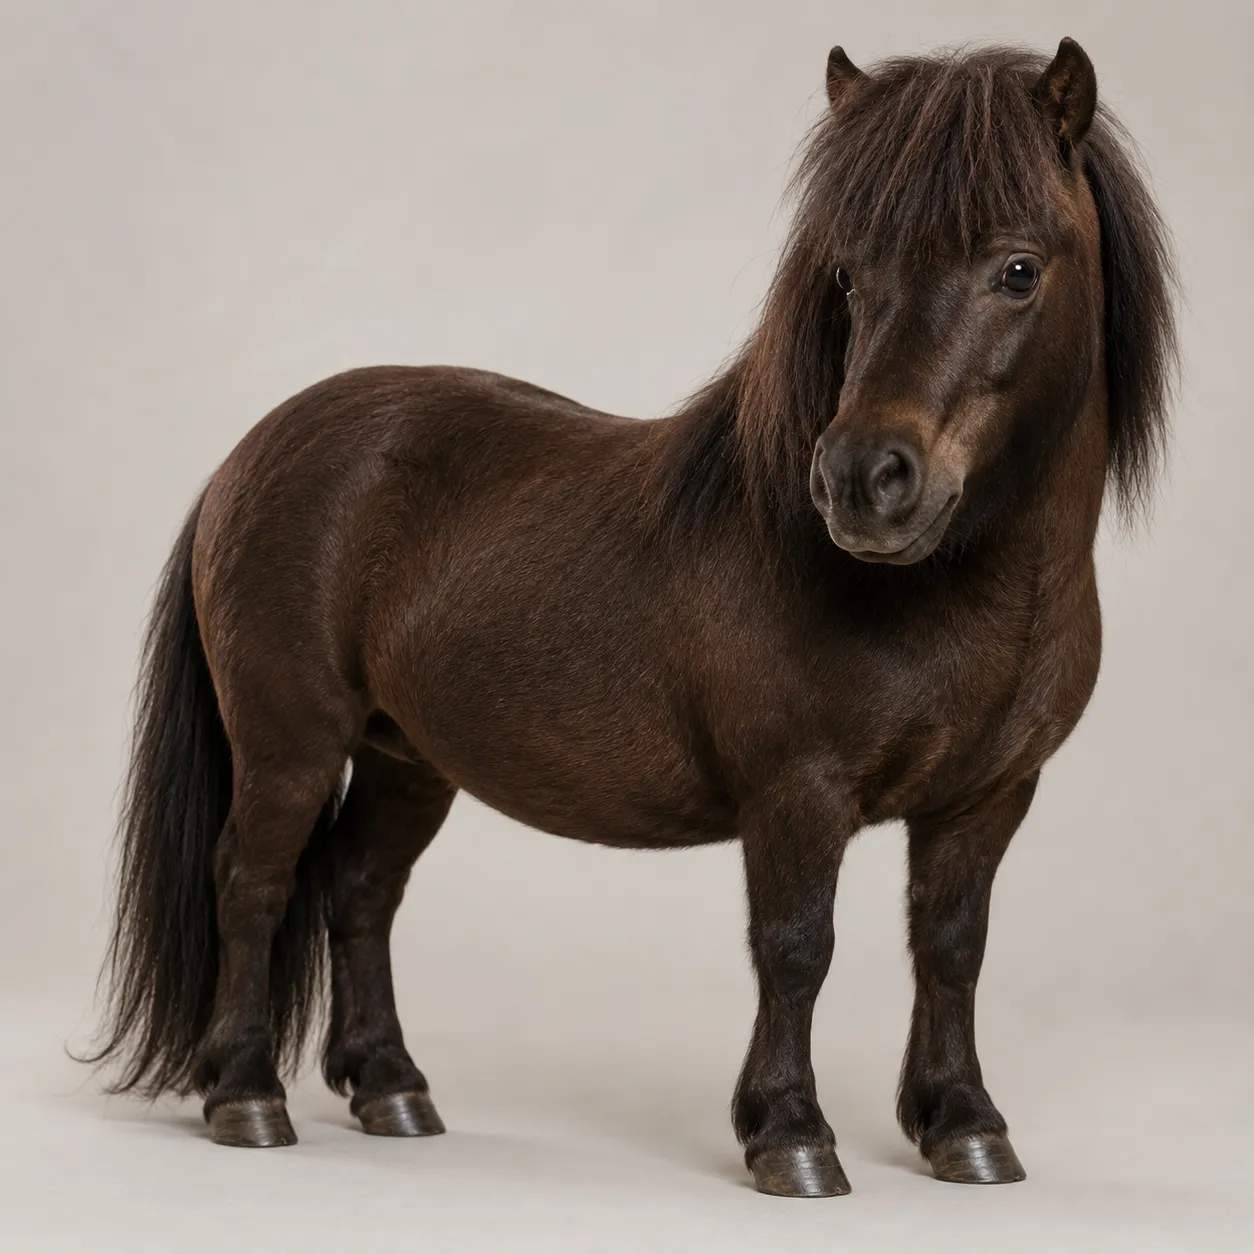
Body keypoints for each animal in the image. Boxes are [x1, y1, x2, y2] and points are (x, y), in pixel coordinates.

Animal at [87, 38, 1176, 1198]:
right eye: (849, 274)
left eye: (1018, 269)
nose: (860, 480)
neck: (954, 599)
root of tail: (251, 454)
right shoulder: (798, 792)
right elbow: (798, 947)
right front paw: (790, 1136)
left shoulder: (988, 800)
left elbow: (952, 948)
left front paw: (965, 1127)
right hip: (289, 744)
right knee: (252, 883)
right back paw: (246, 1095)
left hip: (404, 757)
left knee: (359, 888)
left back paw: (391, 1088)